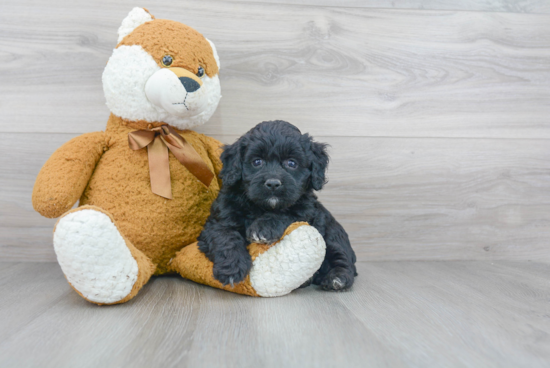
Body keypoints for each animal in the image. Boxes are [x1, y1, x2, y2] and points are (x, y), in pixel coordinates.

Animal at [198, 121, 358, 290]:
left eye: (291, 163)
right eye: (257, 162)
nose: (273, 183)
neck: (261, 207)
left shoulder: (305, 211)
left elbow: (286, 213)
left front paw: (263, 228)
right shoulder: (219, 220)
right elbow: (225, 237)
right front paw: (232, 268)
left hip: (333, 234)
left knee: (342, 258)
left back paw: (337, 278)